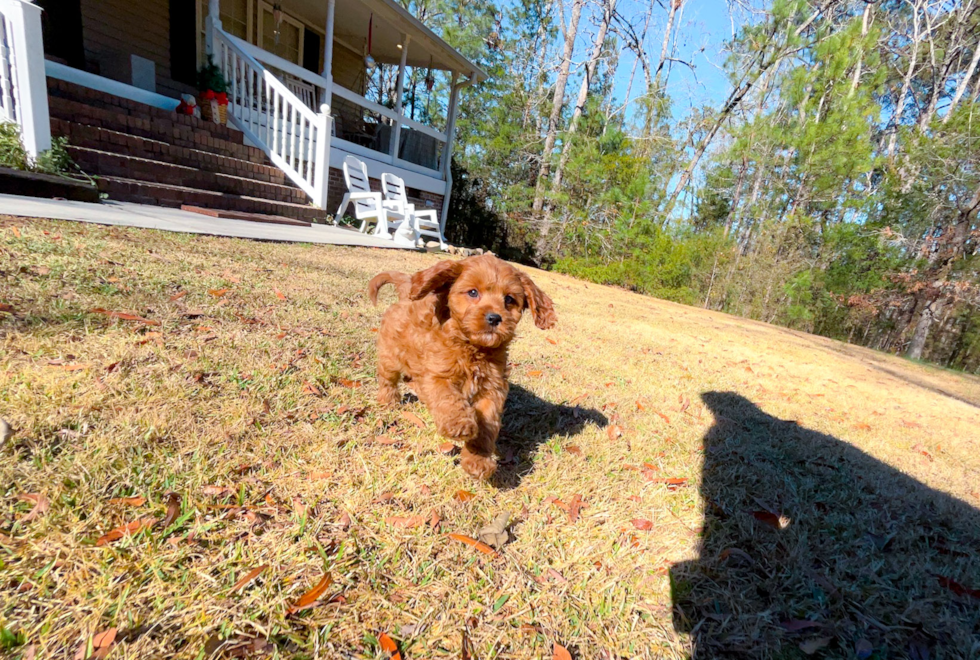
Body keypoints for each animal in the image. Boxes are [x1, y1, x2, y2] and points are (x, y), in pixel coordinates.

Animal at [370, 254, 556, 480]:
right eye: (473, 292)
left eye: (509, 299)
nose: (494, 318)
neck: (473, 349)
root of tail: (406, 295)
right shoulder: (437, 374)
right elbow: (447, 397)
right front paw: (458, 423)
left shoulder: (491, 391)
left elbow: (486, 427)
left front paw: (477, 461)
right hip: (390, 357)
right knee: (387, 379)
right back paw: (388, 401)